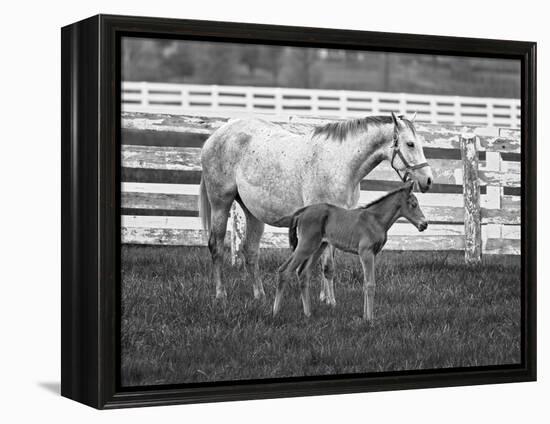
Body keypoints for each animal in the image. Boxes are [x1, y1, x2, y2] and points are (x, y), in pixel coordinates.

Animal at [201, 112, 434, 304]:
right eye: (410, 144)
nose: (428, 180)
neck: (340, 163)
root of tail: (217, 134)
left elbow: (328, 265)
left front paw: (324, 297)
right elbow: (327, 265)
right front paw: (331, 301)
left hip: (252, 213)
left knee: (250, 251)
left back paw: (260, 295)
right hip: (220, 203)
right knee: (216, 247)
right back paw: (221, 294)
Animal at [274, 182, 430, 322]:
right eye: (413, 204)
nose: (424, 224)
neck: (376, 220)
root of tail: (302, 212)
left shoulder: (372, 254)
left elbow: (365, 283)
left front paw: (365, 316)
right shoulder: (366, 253)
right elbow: (370, 284)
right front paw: (370, 320)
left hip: (318, 246)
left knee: (303, 273)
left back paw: (308, 314)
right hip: (306, 245)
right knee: (285, 270)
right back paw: (275, 313)